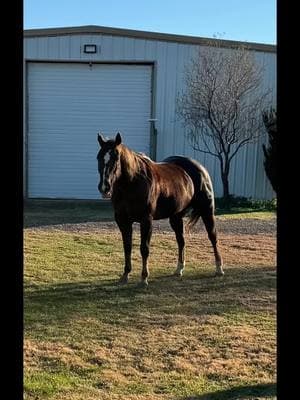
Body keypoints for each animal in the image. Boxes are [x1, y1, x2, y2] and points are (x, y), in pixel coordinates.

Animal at [96, 133, 223, 286]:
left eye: (115, 158)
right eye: (99, 157)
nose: (105, 188)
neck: (133, 182)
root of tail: (200, 168)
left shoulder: (146, 220)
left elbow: (144, 248)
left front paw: (144, 278)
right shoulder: (123, 221)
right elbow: (127, 247)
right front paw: (125, 275)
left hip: (207, 211)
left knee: (213, 237)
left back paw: (219, 269)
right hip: (176, 217)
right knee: (181, 241)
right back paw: (179, 269)